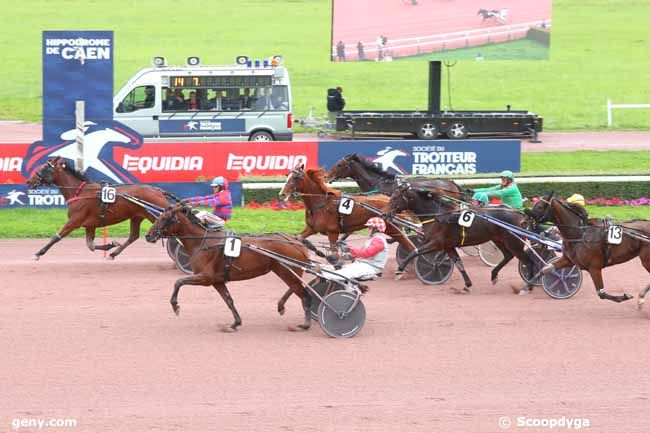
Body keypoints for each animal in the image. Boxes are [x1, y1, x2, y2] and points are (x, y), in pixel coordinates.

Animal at [26, 157, 171, 258]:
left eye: (43, 168)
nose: (29, 181)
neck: (79, 192)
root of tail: (158, 191)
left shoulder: (74, 221)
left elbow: (56, 237)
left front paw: (38, 253)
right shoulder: (90, 225)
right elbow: (90, 245)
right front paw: (110, 245)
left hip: (155, 216)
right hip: (137, 216)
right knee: (133, 236)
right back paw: (114, 254)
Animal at [145, 202, 312, 330]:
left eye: (164, 218)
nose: (148, 235)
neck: (202, 242)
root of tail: (297, 241)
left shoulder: (206, 278)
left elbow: (179, 282)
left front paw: (175, 306)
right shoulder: (217, 281)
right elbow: (228, 300)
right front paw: (235, 323)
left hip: (287, 271)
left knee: (303, 293)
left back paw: (305, 324)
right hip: (285, 271)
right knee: (297, 288)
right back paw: (281, 306)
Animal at [276, 164, 412, 255]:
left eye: (295, 178)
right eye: (287, 176)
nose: (282, 194)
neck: (321, 203)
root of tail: (390, 200)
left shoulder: (332, 232)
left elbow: (334, 251)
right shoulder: (311, 228)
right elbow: (297, 238)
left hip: (391, 228)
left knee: (408, 243)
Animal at [384, 184, 532, 292]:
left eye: (395, 197)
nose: (385, 215)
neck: (438, 215)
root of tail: (519, 213)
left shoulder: (436, 243)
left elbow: (414, 252)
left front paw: (400, 270)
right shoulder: (448, 246)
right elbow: (459, 264)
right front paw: (467, 284)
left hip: (513, 241)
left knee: (527, 260)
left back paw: (528, 285)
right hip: (499, 240)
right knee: (508, 256)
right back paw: (494, 275)